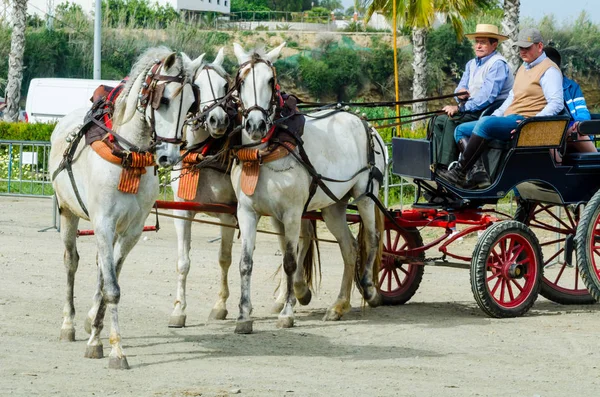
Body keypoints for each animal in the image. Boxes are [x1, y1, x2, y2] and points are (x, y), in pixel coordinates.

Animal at [49, 47, 199, 368]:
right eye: (163, 99)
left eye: (191, 104)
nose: (169, 156)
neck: (129, 155)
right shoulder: (103, 223)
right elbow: (112, 289)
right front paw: (112, 348)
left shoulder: (131, 230)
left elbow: (110, 283)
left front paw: (100, 333)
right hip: (68, 212)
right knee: (71, 262)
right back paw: (68, 324)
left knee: (100, 267)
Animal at [169, 48, 318, 326]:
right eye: (196, 87)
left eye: (225, 86)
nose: (217, 120)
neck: (205, 153)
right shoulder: (182, 210)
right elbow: (183, 262)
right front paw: (179, 310)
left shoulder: (228, 213)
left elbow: (224, 258)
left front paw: (220, 305)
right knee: (286, 244)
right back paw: (283, 298)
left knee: (301, 242)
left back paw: (299, 290)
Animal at [227, 43, 386, 332]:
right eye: (241, 81)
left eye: (270, 80)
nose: (255, 125)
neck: (265, 152)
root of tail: (364, 121)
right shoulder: (247, 211)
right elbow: (245, 263)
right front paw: (244, 316)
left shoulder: (291, 213)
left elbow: (290, 261)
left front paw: (287, 312)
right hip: (333, 206)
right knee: (350, 247)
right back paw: (339, 306)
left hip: (366, 195)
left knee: (372, 238)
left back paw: (369, 288)